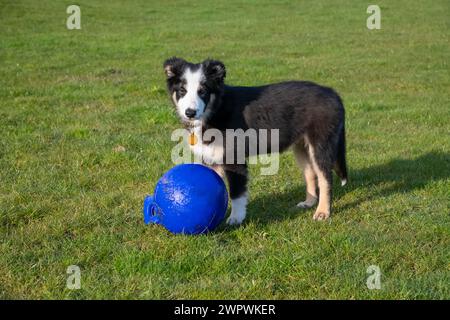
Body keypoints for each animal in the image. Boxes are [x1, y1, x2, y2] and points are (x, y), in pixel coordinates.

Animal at [163, 58, 348, 225]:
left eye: (202, 91)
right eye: (182, 90)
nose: (190, 113)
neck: (216, 109)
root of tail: (333, 93)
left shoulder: (234, 159)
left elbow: (237, 194)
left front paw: (236, 219)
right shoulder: (212, 158)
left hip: (321, 144)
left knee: (325, 178)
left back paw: (323, 212)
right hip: (302, 146)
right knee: (311, 173)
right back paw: (309, 203)